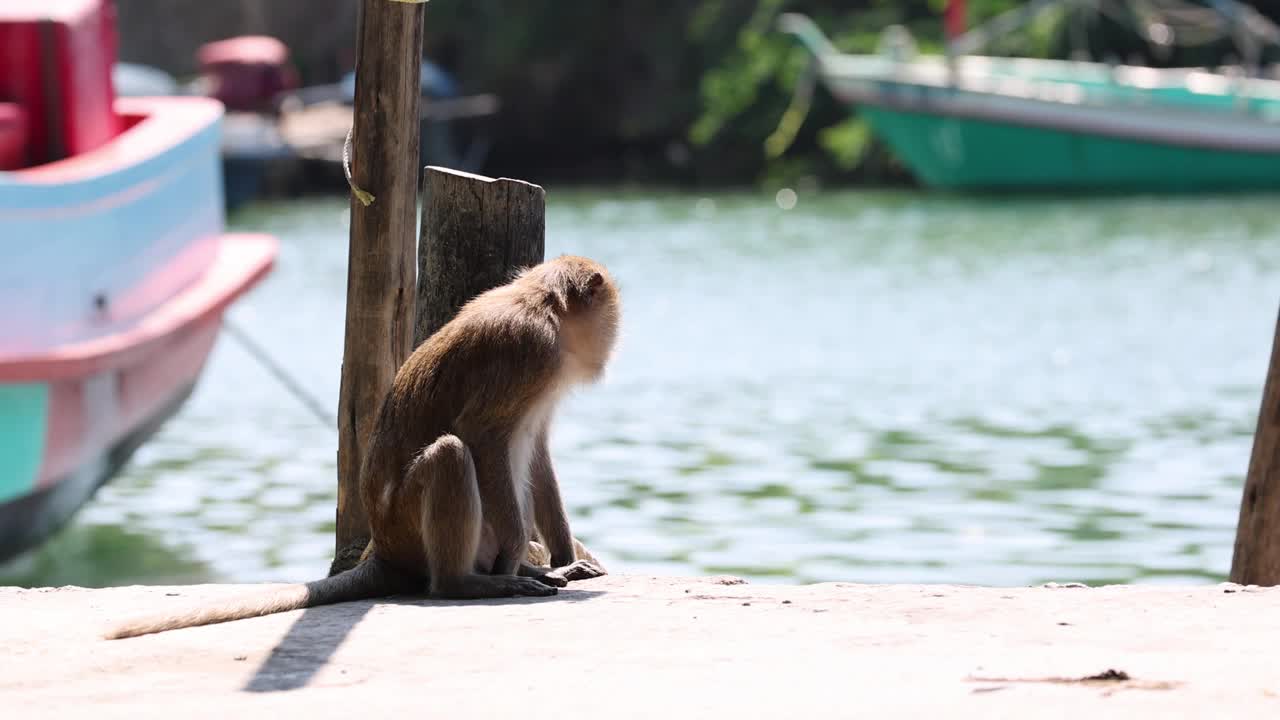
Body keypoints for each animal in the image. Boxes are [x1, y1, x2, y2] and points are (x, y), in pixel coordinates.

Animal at [103, 254, 619, 635]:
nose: (611, 344)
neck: (542, 305)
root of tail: (385, 549)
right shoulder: (530, 352)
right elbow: (482, 436)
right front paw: (517, 557)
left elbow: (536, 451)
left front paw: (560, 556)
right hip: (411, 528)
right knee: (452, 455)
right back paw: (467, 583)